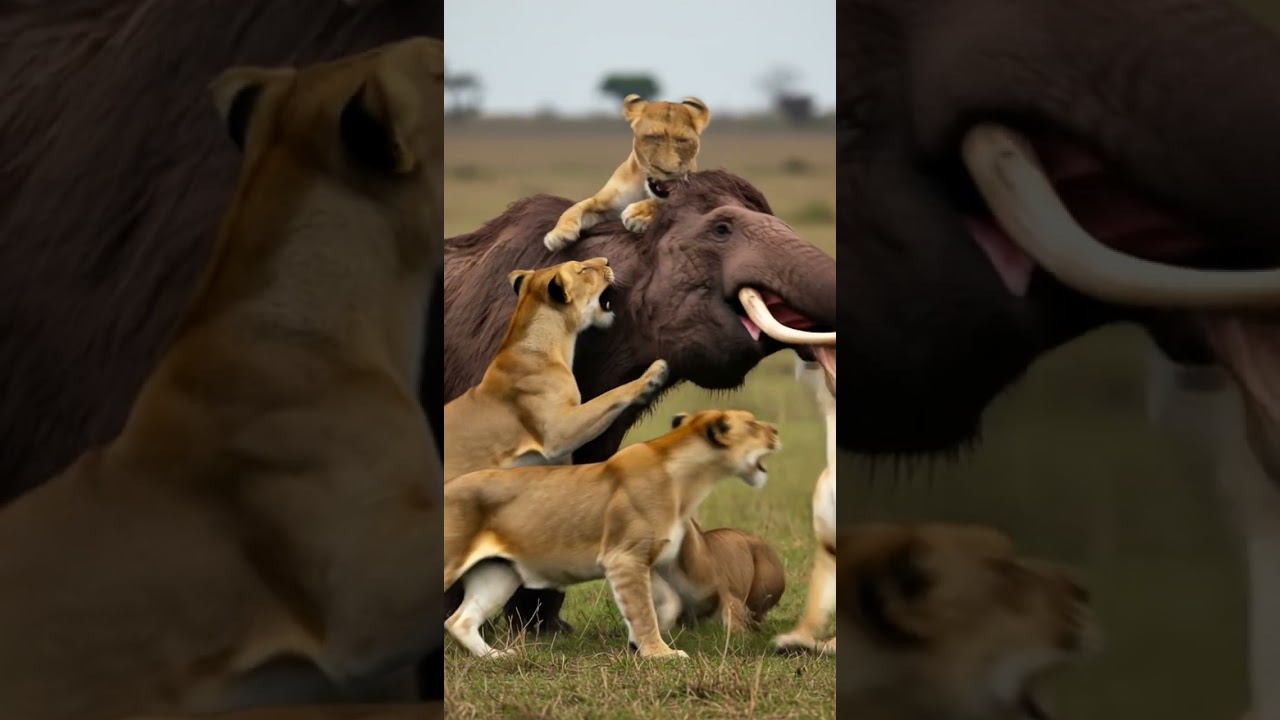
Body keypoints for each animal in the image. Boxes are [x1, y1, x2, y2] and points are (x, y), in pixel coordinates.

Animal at [443, 257, 668, 482]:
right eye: (583, 269)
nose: (607, 261)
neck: (556, 346)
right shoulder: (556, 432)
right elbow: (609, 396)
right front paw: (653, 374)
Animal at [443, 409, 780, 659]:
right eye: (753, 424)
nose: (776, 431)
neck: (685, 481)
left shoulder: (647, 559)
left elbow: (664, 604)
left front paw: (639, 644)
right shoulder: (625, 557)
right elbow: (643, 610)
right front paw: (660, 654)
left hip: (499, 573)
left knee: (459, 620)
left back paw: (495, 656)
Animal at [542, 93, 711, 252]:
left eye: (683, 141)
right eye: (653, 137)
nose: (668, 170)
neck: (644, 188)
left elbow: (660, 203)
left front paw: (638, 215)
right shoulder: (606, 205)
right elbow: (578, 206)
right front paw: (558, 234)